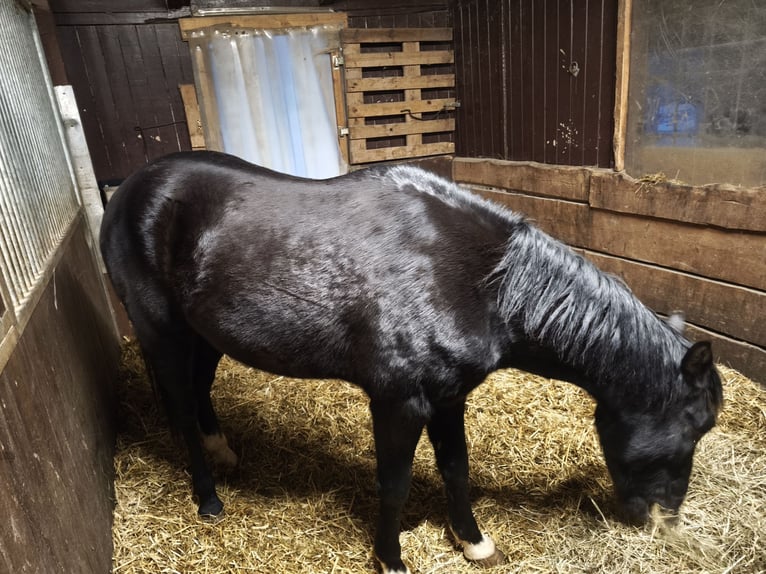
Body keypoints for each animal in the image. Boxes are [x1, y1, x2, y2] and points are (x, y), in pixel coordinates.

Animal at [100, 151, 723, 574]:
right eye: (694, 426)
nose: (664, 517)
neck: (481, 281)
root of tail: (128, 188)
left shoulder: (449, 398)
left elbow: (456, 469)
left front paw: (474, 541)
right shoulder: (399, 402)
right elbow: (394, 484)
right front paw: (391, 558)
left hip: (204, 334)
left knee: (200, 392)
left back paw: (223, 451)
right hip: (162, 333)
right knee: (180, 409)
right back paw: (208, 500)